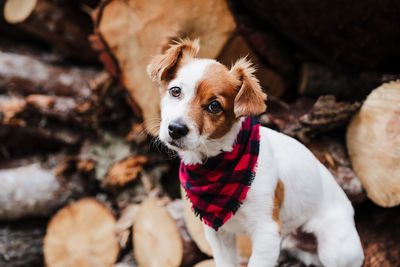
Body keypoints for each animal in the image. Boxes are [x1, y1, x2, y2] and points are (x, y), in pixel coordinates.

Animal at [148, 39, 366, 267]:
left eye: (214, 106)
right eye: (175, 91)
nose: (176, 129)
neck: (216, 165)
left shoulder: (267, 231)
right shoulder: (219, 233)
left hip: (335, 250)